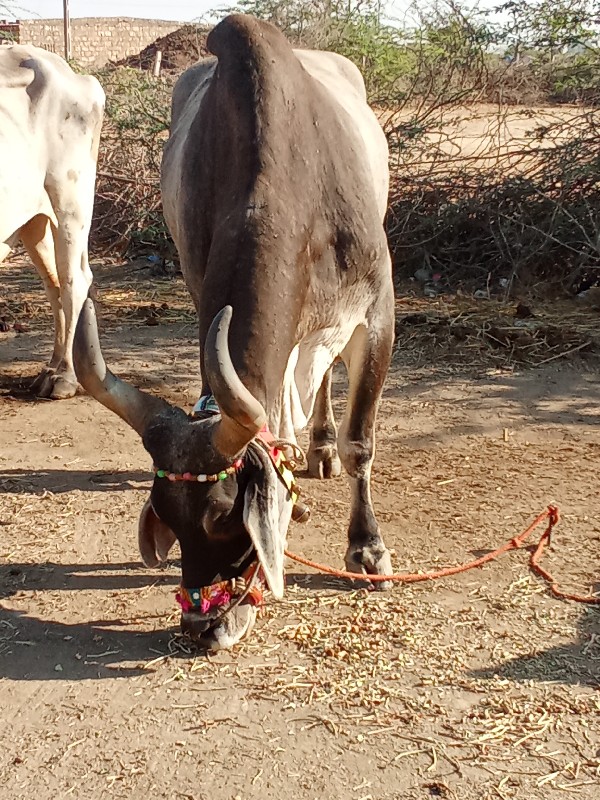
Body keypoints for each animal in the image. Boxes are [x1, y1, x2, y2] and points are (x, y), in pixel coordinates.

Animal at [0, 42, 105, 398]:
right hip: (33, 218)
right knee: (54, 283)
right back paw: (52, 366)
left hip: (71, 202)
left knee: (74, 281)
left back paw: (65, 375)